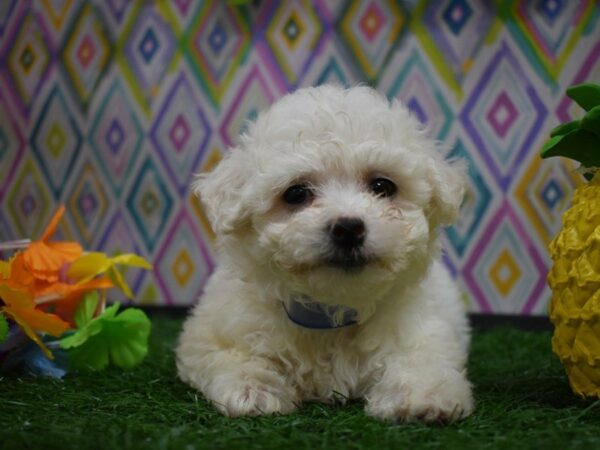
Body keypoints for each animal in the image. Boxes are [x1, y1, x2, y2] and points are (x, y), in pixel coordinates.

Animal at [176, 84, 476, 422]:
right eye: (296, 193)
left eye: (382, 186)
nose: (348, 228)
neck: (332, 313)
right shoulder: (210, 336)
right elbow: (230, 356)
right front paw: (253, 390)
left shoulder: (425, 329)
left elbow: (422, 357)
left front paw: (424, 396)